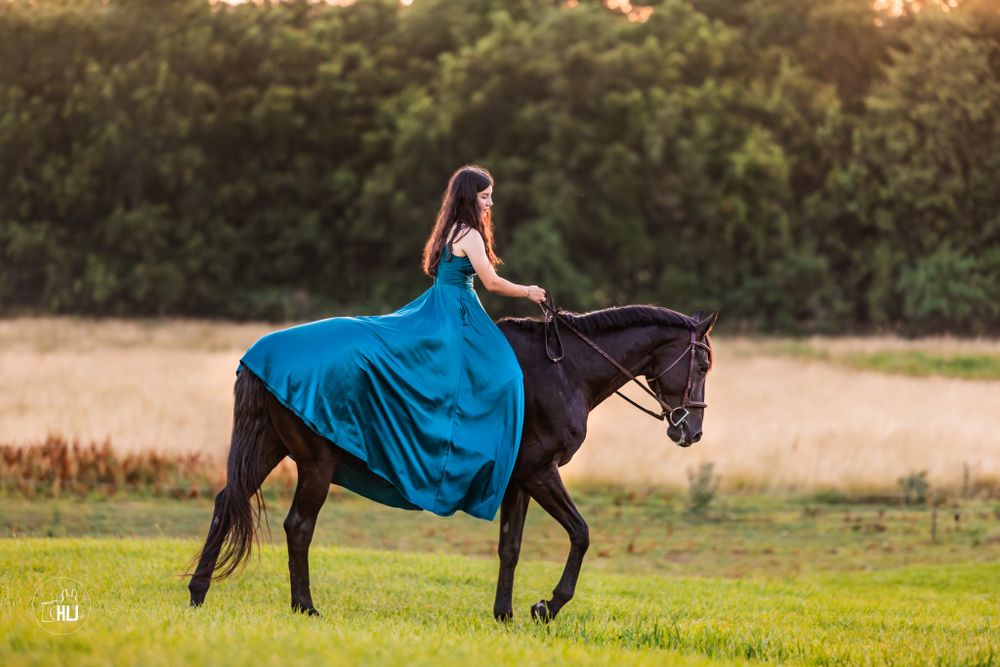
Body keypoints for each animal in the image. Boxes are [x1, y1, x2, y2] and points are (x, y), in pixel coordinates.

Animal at [187, 304, 717, 621]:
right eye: (704, 364)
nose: (691, 431)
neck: (564, 371)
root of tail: (261, 354)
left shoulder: (519, 481)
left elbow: (511, 547)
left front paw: (505, 614)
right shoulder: (540, 472)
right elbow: (581, 534)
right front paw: (547, 606)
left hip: (267, 446)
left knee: (226, 503)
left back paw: (197, 592)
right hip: (316, 464)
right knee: (298, 526)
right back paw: (305, 607)